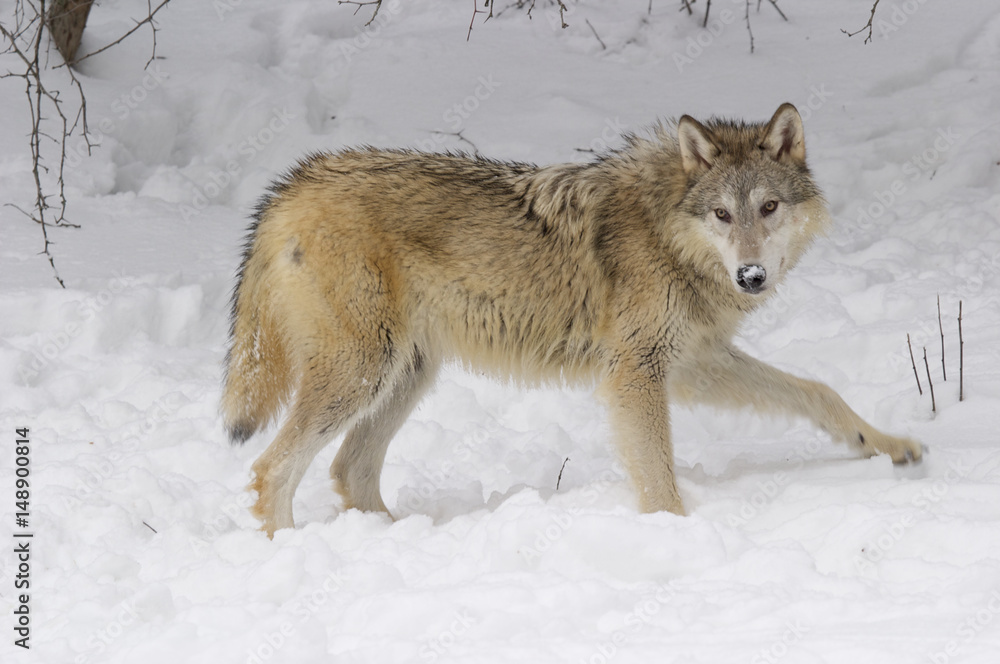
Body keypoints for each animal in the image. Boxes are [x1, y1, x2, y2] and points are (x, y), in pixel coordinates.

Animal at [222, 103, 922, 537]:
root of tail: (294, 181)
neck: (667, 233)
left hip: (406, 375)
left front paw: (885, 445)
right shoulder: (636, 372)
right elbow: (659, 476)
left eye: (769, 207)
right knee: (270, 470)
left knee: (350, 469)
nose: (751, 276)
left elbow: (818, 392)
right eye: (723, 215)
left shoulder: (694, 364)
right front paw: (677, 538)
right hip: (364, 373)